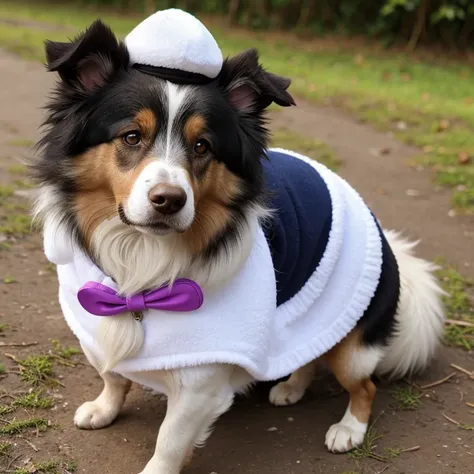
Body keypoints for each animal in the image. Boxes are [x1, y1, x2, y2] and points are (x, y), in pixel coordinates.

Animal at [33, 12, 444, 474]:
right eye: (131, 137)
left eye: (202, 146)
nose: (169, 201)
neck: (142, 259)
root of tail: (384, 234)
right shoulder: (98, 324)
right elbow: (113, 375)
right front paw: (104, 408)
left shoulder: (200, 382)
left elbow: (169, 440)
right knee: (308, 352)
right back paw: (291, 387)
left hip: (353, 345)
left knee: (364, 385)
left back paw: (348, 428)